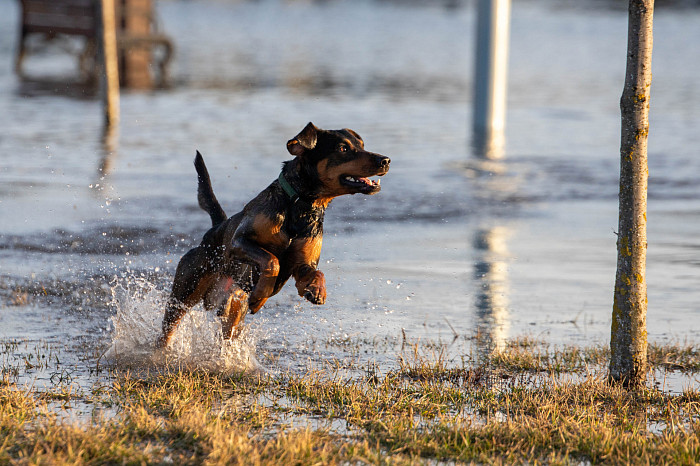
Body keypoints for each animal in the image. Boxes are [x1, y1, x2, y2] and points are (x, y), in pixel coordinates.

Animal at [155, 122, 392, 348]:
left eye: (362, 145)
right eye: (343, 148)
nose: (386, 160)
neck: (301, 206)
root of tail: (217, 227)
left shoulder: (302, 265)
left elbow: (316, 273)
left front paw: (318, 290)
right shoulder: (239, 243)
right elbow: (272, 260)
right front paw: (260, 295)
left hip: (232, 311)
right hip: (185, 291)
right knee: (167, 331)